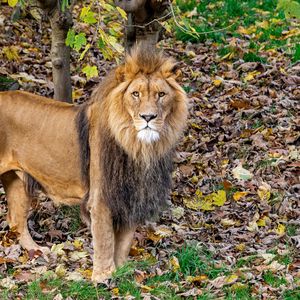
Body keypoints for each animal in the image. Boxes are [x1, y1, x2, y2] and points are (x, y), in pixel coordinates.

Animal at [0, 43, 188, 282]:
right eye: (135, 94)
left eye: (161, 94)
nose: (148, 117)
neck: (137, 146)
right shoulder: (101, 198)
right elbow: (105, 240)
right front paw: (103, 277)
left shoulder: (130, 196)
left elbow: (124, 242)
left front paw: (122, 274)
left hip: (17, 180)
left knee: (16, 219)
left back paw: (37, 251)